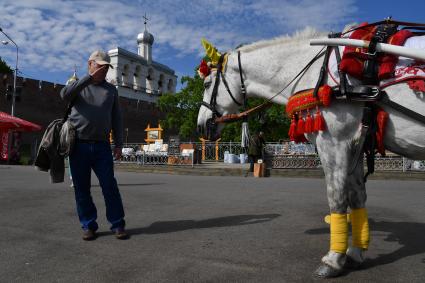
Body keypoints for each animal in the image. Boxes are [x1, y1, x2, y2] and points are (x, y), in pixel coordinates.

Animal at [197, 29, 424, 280]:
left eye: (207, 83)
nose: (200, 125)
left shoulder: (334, 144)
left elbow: (337, 198)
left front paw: (334, 259)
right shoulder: (354, 145)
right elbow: (357, 198)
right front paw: (355, 253)